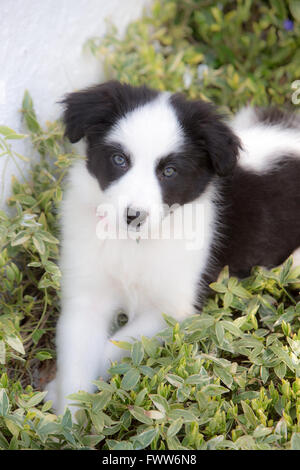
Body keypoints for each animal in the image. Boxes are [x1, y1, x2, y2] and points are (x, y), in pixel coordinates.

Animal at [46, 81, 300, 414]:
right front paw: (67, 415)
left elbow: (112, 348)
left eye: (169, 172)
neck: (133, 245)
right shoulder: (86, 296)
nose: (133, 216)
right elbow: (77, 357)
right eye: (119, 159)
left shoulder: (172, 309)